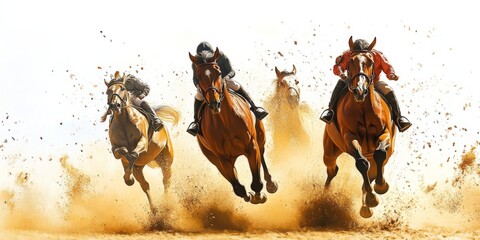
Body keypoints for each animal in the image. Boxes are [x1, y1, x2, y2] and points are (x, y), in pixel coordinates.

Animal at [101, 71, 180, 212]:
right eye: (107, 91)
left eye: (123, 88)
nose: (115, 106)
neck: (123, 122)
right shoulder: (115, 148)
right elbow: (122, 152)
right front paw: (128, 178)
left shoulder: (143, 142)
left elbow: (133, 154)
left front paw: (128, 176)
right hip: (142, 167)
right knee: (145, 185)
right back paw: (154, 210)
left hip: (166, 159)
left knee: (166, 181)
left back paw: (166, 204)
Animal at [188, 47, 278, 203]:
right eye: (198, 77)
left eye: (218, 72)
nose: (214, 103)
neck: (225, 122)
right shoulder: (222, 159)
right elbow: (238, 188)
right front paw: (248, 195)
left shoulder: (251, 147)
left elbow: (256, 181)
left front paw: (258, 196)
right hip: (216, 159)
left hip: (260, 137)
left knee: (262, 155)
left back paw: (271, 184)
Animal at [322, 37, 398, 218]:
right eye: (350, 62)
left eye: (370, 61)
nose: (360, 90)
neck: (363, 107)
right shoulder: (349, 138)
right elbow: (362, 163)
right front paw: (371, 198)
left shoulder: (385, 134)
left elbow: (379, 154)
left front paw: (380, 187)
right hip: (329, 151)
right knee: (332, 170)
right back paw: (325, 195)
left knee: (375, 168)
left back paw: (366, 205)